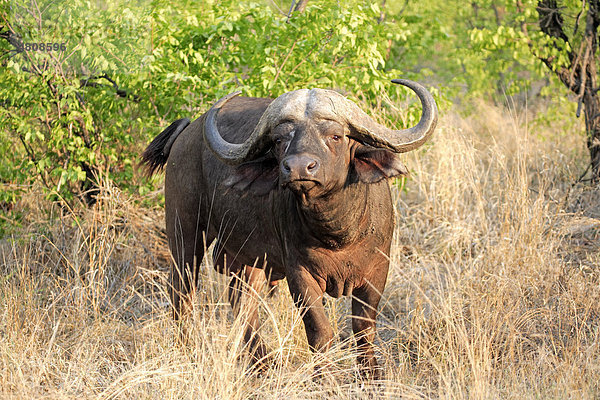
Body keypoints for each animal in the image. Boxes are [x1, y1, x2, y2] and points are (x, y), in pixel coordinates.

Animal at [143, 79, 438, 378]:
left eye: (335, 136)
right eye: (279, 140)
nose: (298, 167)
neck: (337, 233)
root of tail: (187, 133)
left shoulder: (377, 271)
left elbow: (363, 329)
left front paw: (372, 376)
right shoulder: (300, 274)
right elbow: (320, 330)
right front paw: (324, 377)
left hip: (249, 258)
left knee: (242, 303)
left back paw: (264, 363)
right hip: (185, 231)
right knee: (183, 290)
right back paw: (191, 350)